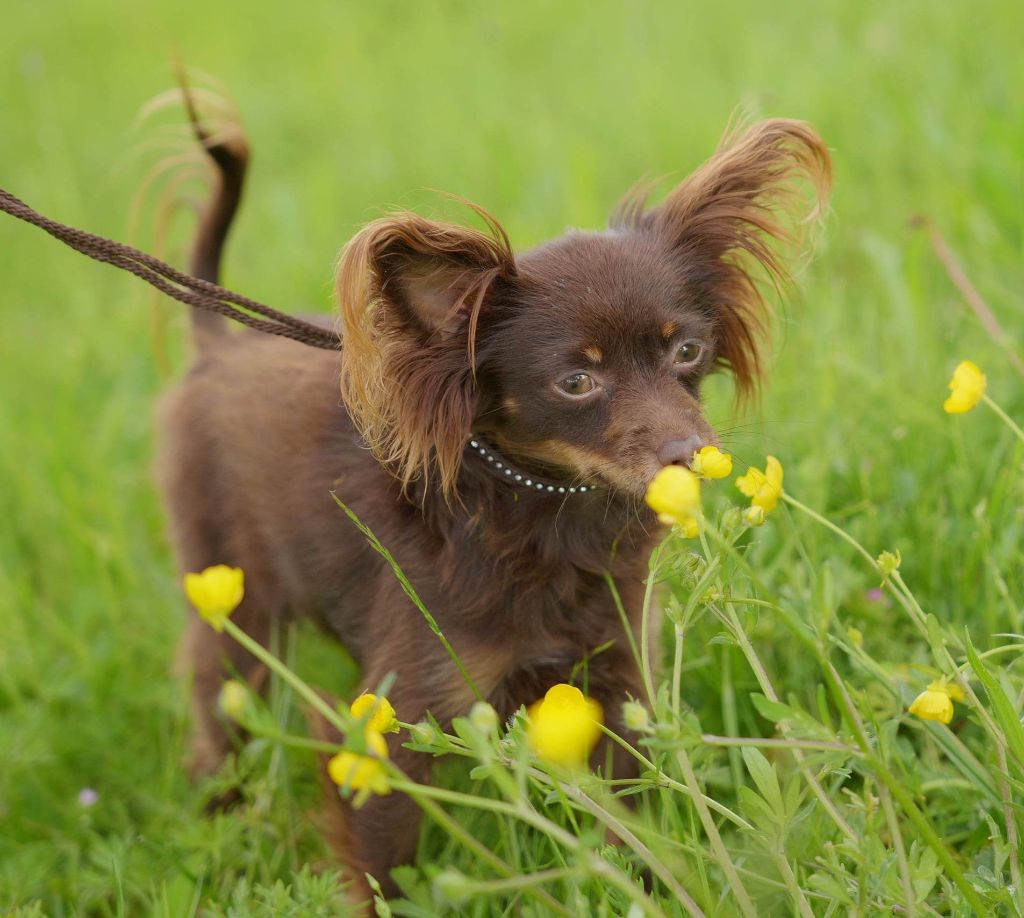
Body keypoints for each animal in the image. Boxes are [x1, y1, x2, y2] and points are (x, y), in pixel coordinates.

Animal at [159, 109, 831, 901]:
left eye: (688, 351)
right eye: (577, 382)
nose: (693, 453)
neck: (550, 506)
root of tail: (217, 347)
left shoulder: (618, 682)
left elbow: (631, 820)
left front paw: (638, 887)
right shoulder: (397, 718)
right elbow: (383, 861)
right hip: (235, 606)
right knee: (221, 714)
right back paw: (222, 815)